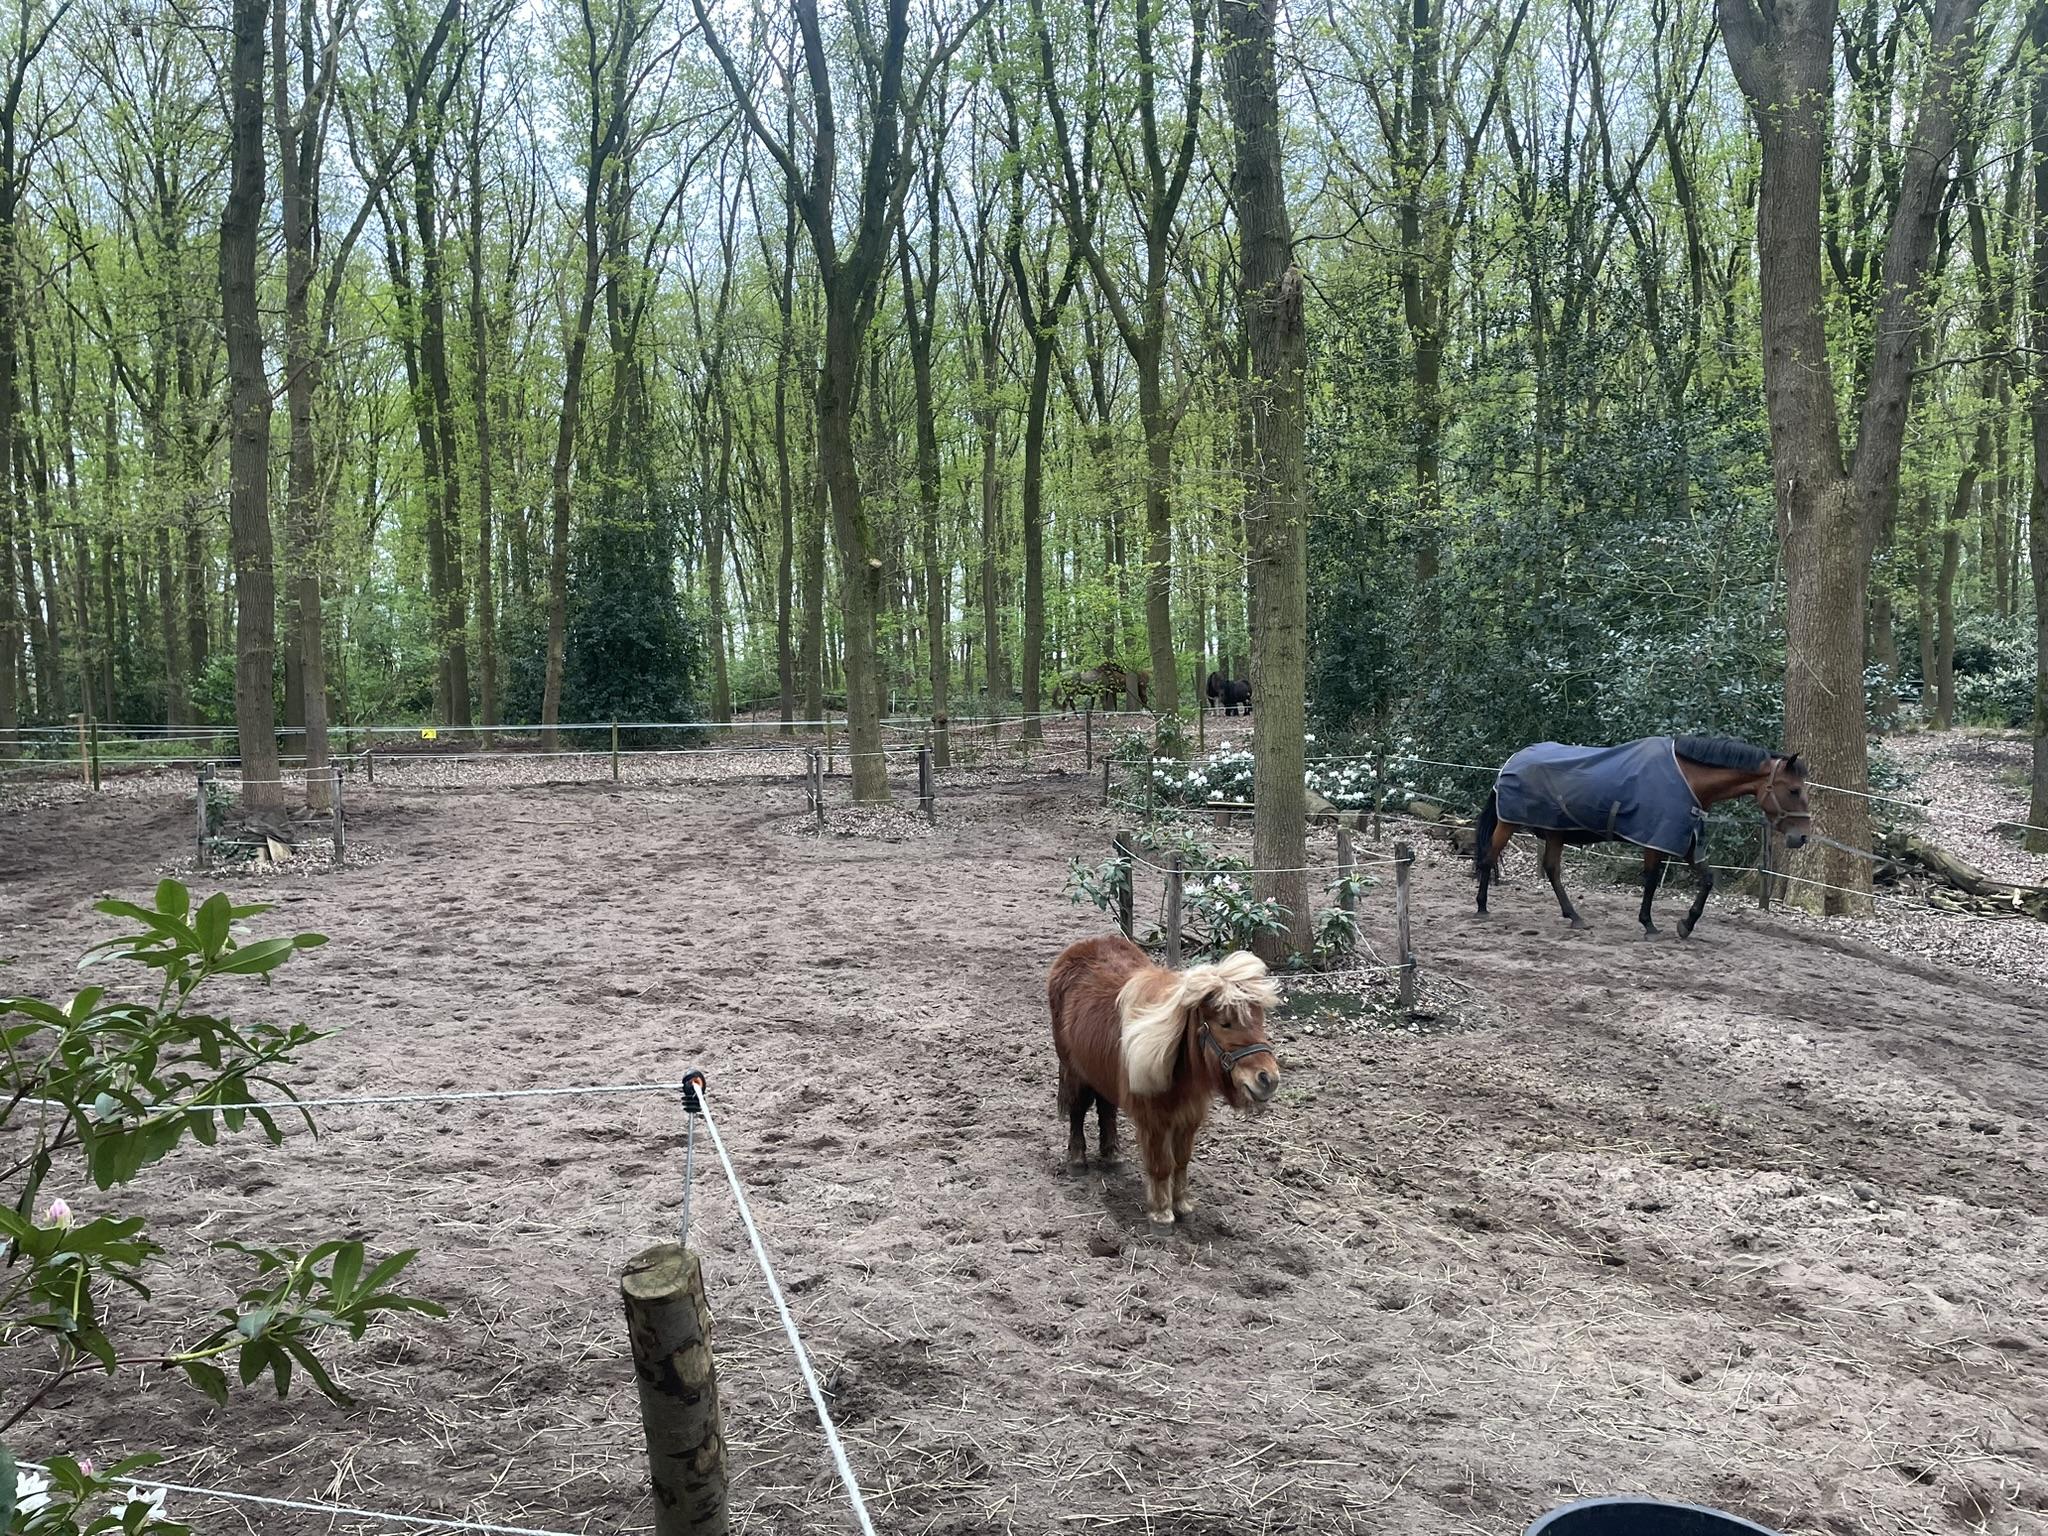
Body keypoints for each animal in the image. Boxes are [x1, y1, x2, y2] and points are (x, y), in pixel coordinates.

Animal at [1047, 935, 1281, 1226]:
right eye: (1225, 1023)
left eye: (1260, 1020)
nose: (1268, 1078)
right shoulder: (1154, 1119)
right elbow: (1161, 1165)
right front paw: (1161, 1214)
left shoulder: (1189, 1117)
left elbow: (1181, 1161)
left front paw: (1183, 1206)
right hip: (1075, 1070)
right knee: (1078, 1111)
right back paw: (1077, 1161)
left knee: (1106, 1108)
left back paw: (1113, 1156)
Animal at [1472, 734, 1813, 938]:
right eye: (1794, 791)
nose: (1802, 837)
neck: (1688, 778)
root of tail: (1511, 761)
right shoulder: (1656, 838)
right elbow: (1650, 880)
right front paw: (1649, 925)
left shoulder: (1685, 842)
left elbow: (1707, 880)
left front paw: (1686, 924)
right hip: (1509, 823)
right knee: (1489, 857)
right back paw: (1482, 908)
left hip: (1556, 831)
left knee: (1552, 870)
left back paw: (1575, 917)